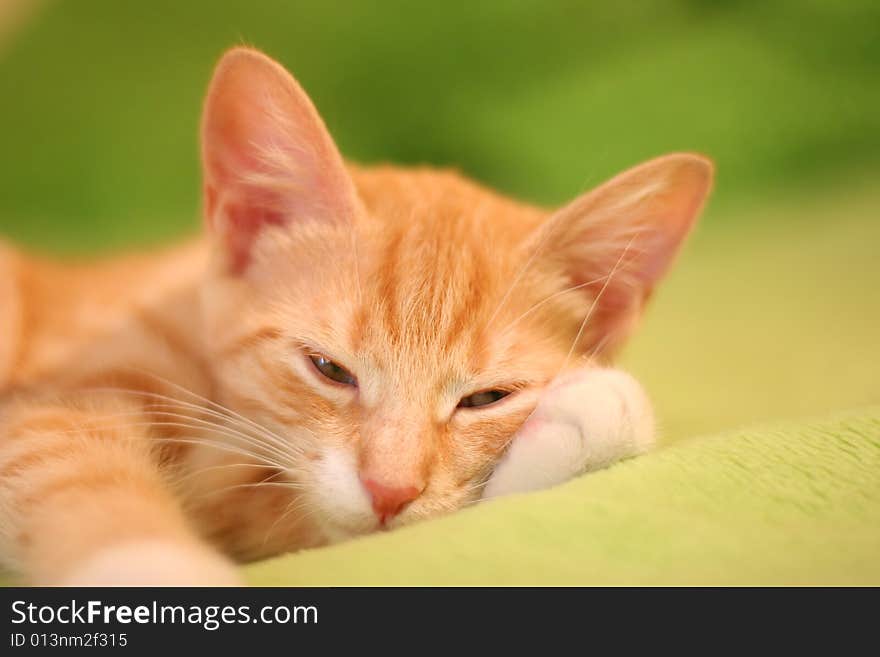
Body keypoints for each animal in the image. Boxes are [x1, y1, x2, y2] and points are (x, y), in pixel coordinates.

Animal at [0, 48, 716, 588]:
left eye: (486, 398)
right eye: (328, 368)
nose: (389, 490)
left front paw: (588, 419)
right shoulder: (62, 390)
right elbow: (72, 467)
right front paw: (153, 567)